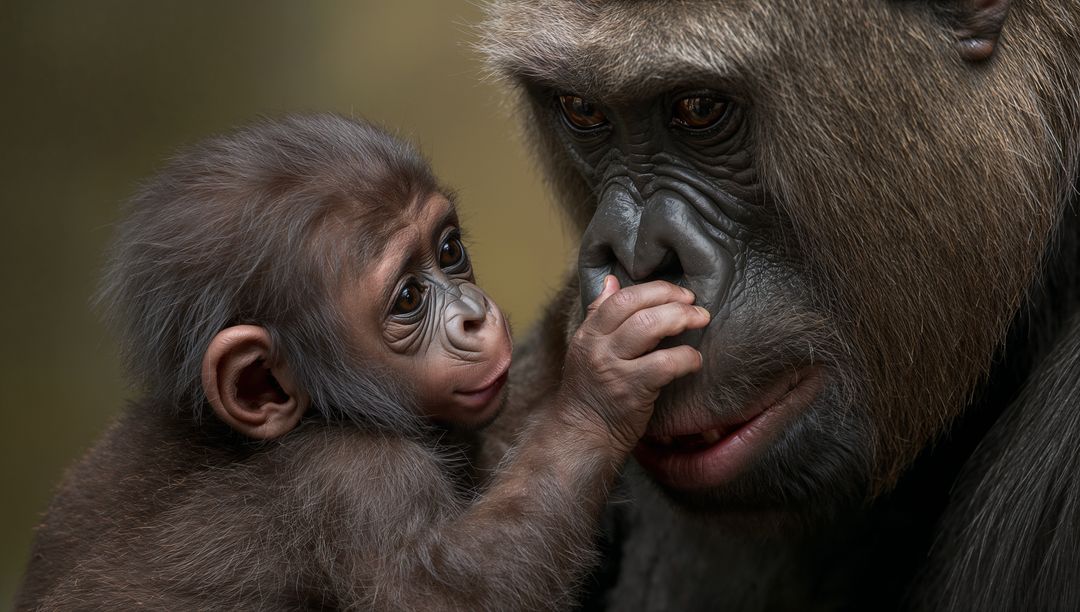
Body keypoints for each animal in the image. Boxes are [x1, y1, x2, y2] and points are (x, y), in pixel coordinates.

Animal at [14, 113, 711, 611]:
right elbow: (452, 593)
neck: (315, 414)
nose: (473, 316)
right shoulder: (353, 480)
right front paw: (604, 379)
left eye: (450, 250)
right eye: (407, 299)